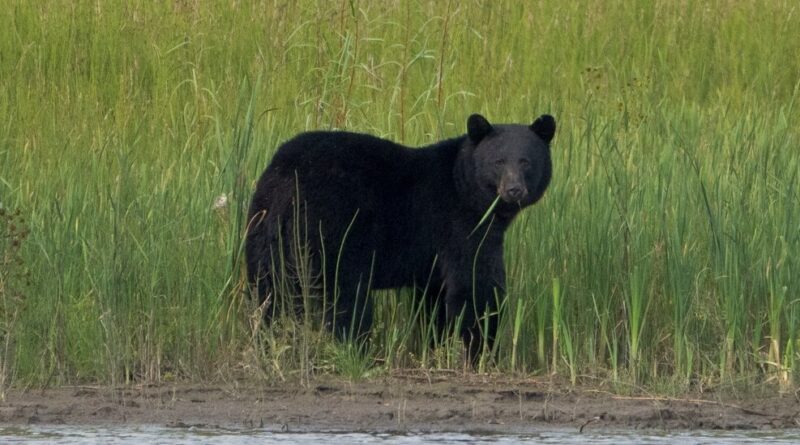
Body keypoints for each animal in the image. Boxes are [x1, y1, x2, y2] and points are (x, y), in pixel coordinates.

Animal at [245, 113, 555, 361]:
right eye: (499, 161)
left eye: (526, 161)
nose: (514, 190)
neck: (463, 185)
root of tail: (287, 177)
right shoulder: (460, 226)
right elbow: (476, 287)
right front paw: (483, 353)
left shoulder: (433, 260)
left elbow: (434, 300)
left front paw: (436, 347)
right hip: (331, 231)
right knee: (345, 297)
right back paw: (357, 350)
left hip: (264, 228)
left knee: (267, 292)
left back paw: (266, 342)